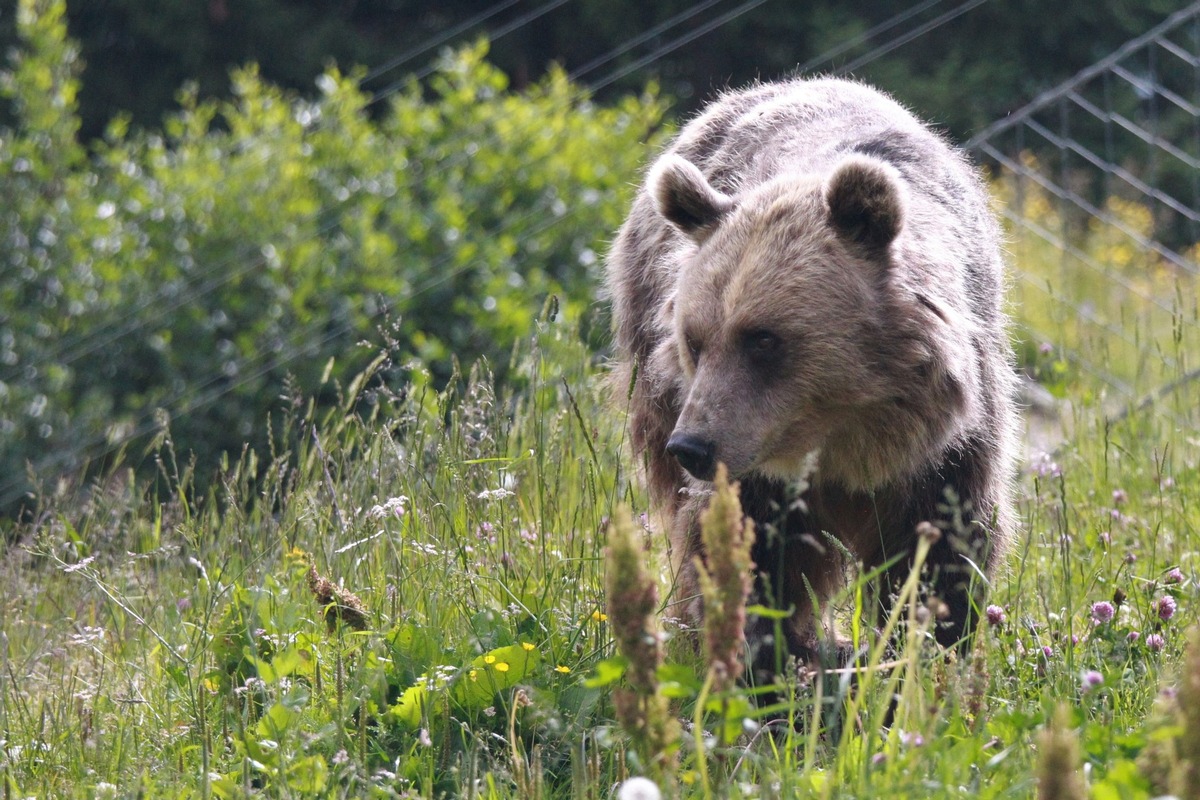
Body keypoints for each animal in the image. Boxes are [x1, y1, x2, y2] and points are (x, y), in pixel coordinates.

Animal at [604, 74, 1017, 681]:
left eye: (762, 339)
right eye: (694, 341)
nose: (694, 446)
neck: (848, 435)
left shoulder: (947, 450)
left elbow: (945, 550)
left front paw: (929, 652)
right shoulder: (755, 468)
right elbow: (752, 555)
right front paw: (766, 660)